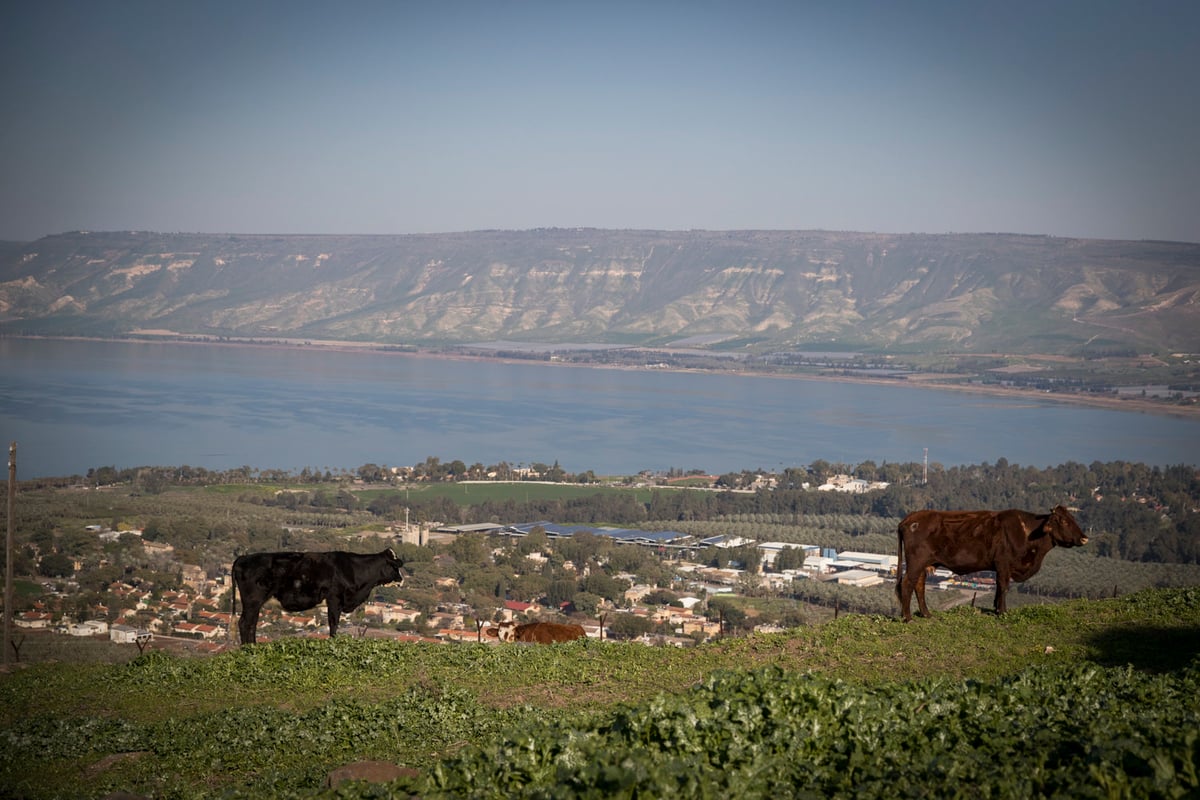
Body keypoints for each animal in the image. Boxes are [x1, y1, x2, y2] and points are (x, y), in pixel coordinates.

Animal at [231, 551, 405, 642]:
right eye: (395, 567)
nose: (401, 580)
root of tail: (243, 558)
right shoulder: (334, 599)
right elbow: (333, 623)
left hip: (254, 603)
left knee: (250, 623)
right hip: (253, 601)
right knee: (246, 623)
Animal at [897, 503, 1084, 623]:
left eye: (1073, 518)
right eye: (1064, 521)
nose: (1084, 538)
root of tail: (910, 518)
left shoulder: (1000, 567)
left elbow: (999, 587)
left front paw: (996, 609)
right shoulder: (1003, 564)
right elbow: (1004, 586)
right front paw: (1003, 612)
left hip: (923, 564)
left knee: (919, 585)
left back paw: (926, 614)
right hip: (916, 562)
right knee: (907, 584)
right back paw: (908, 618)